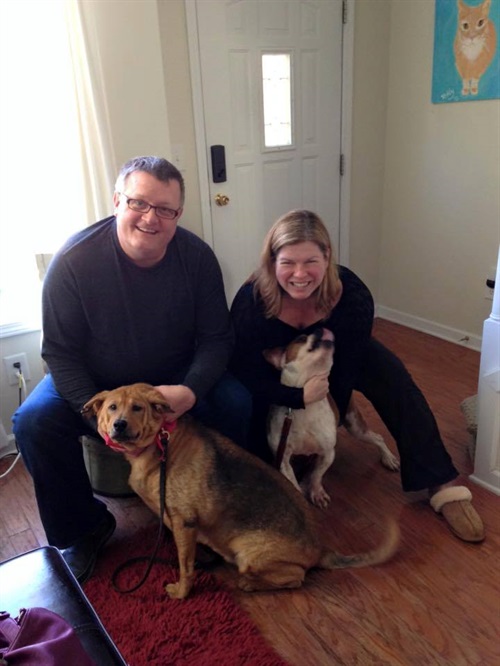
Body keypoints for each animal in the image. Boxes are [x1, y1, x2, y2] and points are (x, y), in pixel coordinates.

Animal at [82, 383, 399, 600]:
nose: (119, 425)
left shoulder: (184, 522)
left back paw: (249, 583)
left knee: (296, 577)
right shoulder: (179, 525)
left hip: (249, 556)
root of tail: (319, 549)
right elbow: (186, 556)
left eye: (138, 407)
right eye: (112, 407)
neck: (160, 443)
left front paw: (182, 591)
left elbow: (186, 567)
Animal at [264, 328, 400, 509]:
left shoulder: (328, 453)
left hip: (355, 426)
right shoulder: (283, 459)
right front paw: (300, 493)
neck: (307, 406)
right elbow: (292, 482)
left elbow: (316, 475)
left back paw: (388, 458)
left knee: (378, 437)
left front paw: (316, 492)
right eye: (301, 338)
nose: (321, 328)